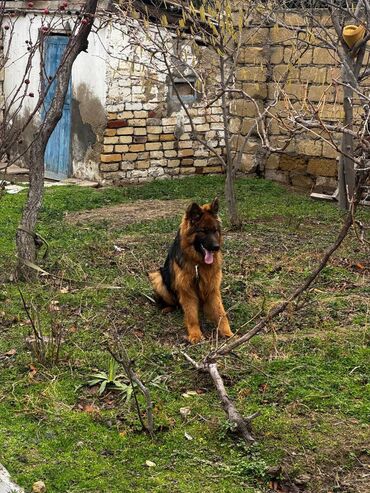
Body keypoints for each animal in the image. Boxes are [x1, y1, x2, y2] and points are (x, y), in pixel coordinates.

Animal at [149, 198, 233, 344]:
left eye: (215, 230)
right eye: (203, 231)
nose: (216, 247)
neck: (198, 264)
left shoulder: (212, 288)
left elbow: (221, 313)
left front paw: (228, 333)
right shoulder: (187, 290)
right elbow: (191, 315)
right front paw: (195, 335)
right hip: (158, 277)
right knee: (174, 304)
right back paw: (167, 308)